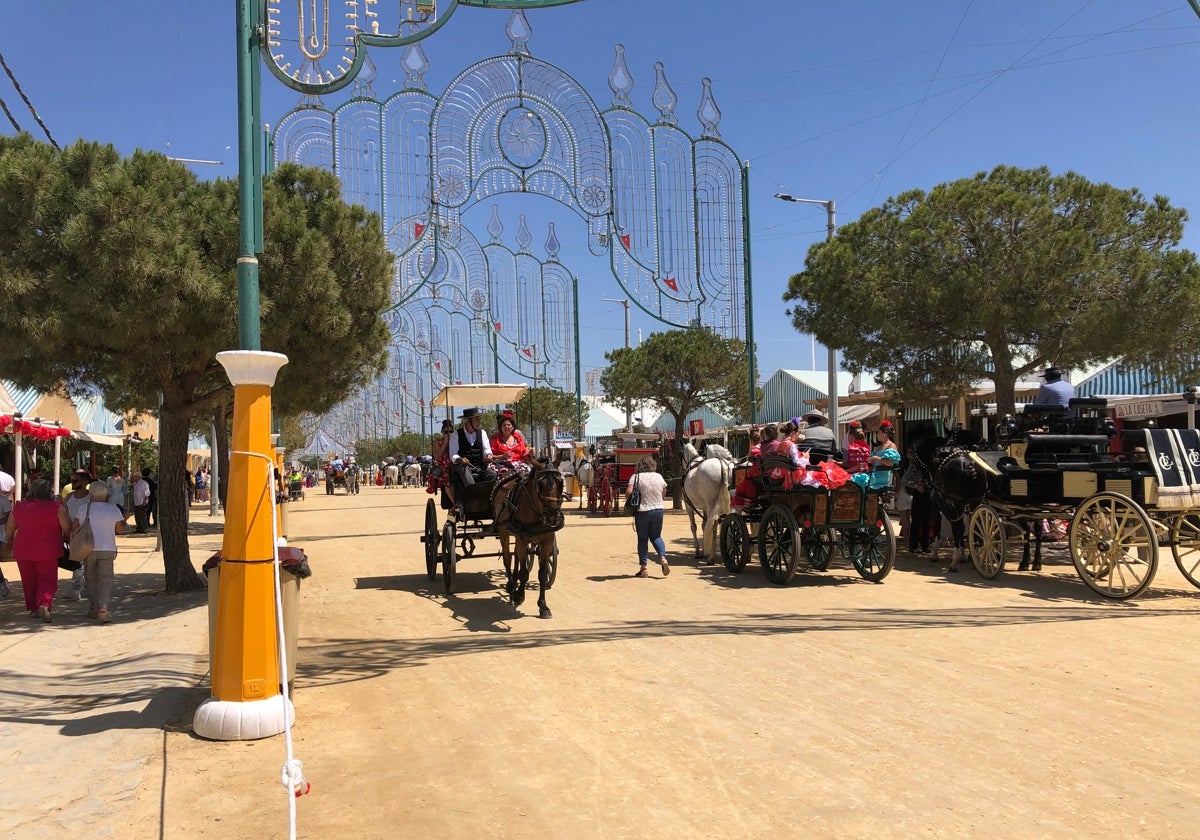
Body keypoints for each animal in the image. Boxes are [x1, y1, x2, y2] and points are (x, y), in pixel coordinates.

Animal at [489, 465, 564, 619]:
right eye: (540, 484)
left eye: (560, 483)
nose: (553, 515)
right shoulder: (522, 541)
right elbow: (524, 573)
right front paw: (519, 596)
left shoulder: (547, 541)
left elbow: (542, 574)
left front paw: (543, 606)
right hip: (504, 531)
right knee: (507, 558)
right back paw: (511, 585)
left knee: (516, 556)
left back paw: (514, 582)